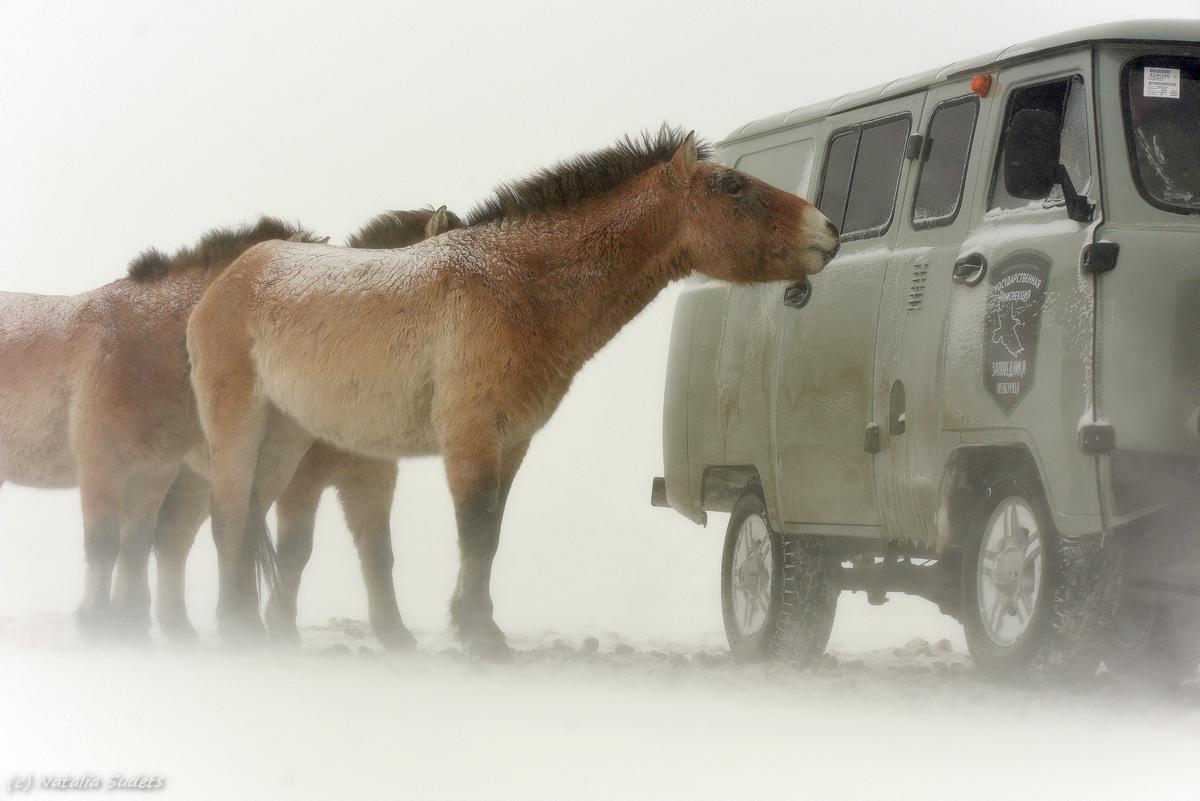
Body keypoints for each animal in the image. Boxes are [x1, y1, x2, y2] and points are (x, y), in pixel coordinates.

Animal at [0, 214, 324, 637]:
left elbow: (136, 543)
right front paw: (95, 621)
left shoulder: (153, 472)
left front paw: (130, 623)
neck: (142, 346)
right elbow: (103, 544)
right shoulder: (102, 470)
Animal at [152, 208, 460, 652]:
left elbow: (378, 551)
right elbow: (295, 550)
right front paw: (282, 626)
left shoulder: (371, 477)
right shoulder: (302, 482)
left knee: (185, 534)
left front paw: (393, 631)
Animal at [189, 126, 844, 657]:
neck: (514, 282)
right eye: (731, 186)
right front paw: (479, 637)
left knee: (246, 521)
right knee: (227, 518)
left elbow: (492, 535)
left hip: (283, 441)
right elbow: (476, 529)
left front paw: (478, 626)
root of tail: (226, 284)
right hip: (241, 430)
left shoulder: (512, 442)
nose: (828, 230)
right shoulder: (472, 438)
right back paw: (238, 632)